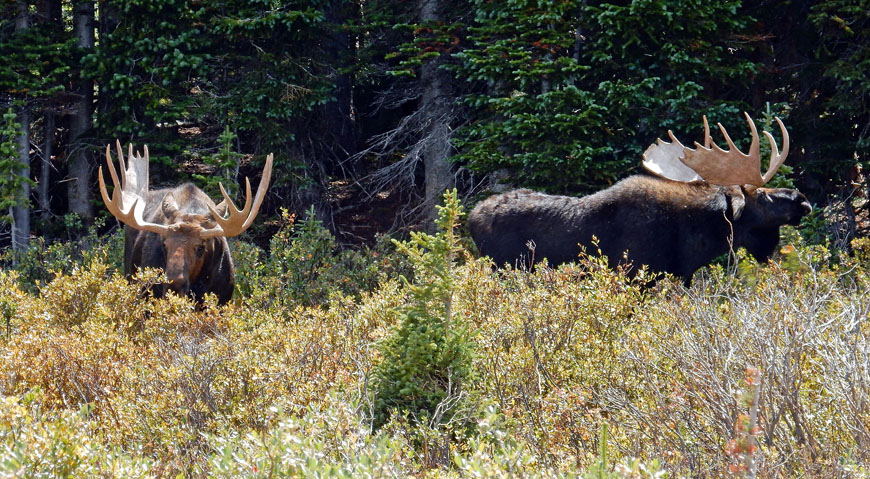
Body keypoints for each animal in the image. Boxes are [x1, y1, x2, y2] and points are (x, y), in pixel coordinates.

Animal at [470, 113, 816, 284]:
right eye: (764, 196)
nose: (803, 199)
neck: (695, 238)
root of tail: (472, 217)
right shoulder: (634, 276)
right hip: (505, 269)